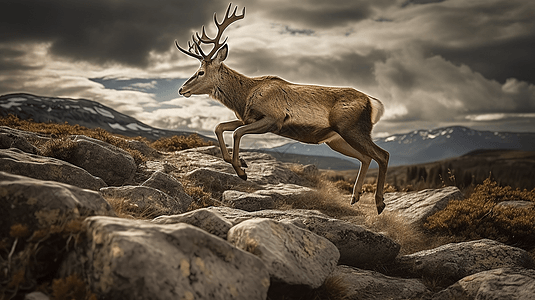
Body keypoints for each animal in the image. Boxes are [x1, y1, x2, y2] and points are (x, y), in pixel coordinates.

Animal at [176, 2, 390, 213]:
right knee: (365, 157)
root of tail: (372, 102)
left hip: (353, 129)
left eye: (200, 72)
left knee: (383, 155)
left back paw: (379, 203)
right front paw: (241, 163)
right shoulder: (247, 117)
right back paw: (355, 196)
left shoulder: (273, 119)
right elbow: (219, 127)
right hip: (337, 139)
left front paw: (242, 171)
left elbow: (237, 132)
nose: (181, 89)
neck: (245, 96)